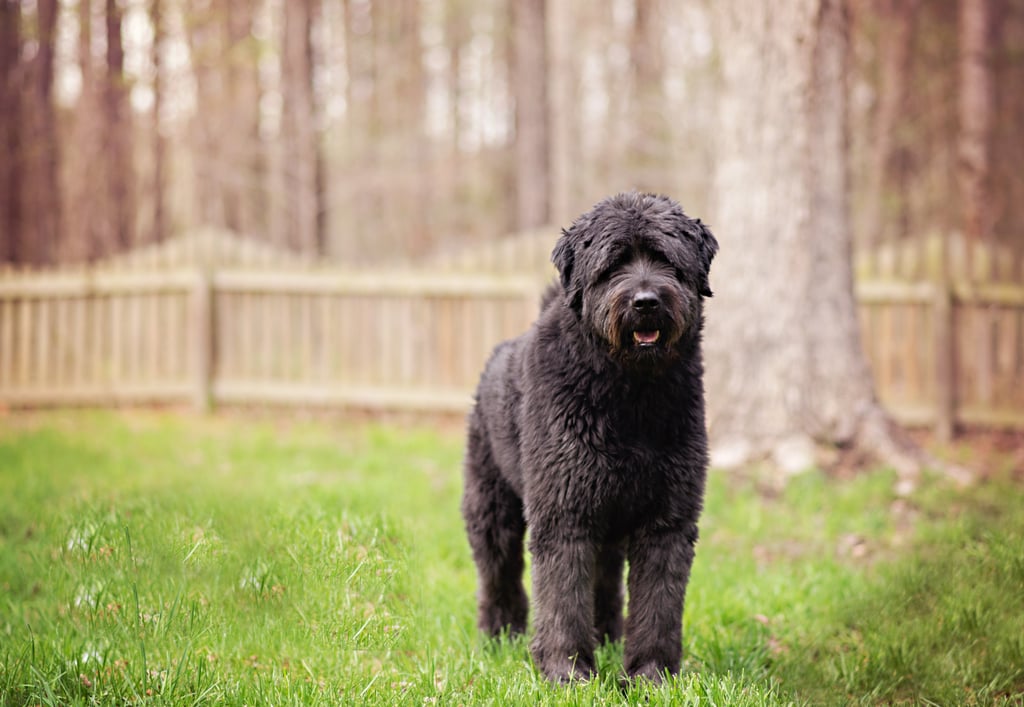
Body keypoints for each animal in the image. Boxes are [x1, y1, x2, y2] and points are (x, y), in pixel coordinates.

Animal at [464, 192, 720, 684]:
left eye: (666, 259)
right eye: (613, 264)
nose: (646, 302)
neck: (629, 396)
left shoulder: (666, 518)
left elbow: (657, 604)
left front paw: (650, 675)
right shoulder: (564, 513)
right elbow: (562, 598)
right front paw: (567, 672)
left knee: (603, 584)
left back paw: (607, 638)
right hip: (492, 510)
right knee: (499, 574)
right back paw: (500, 636)